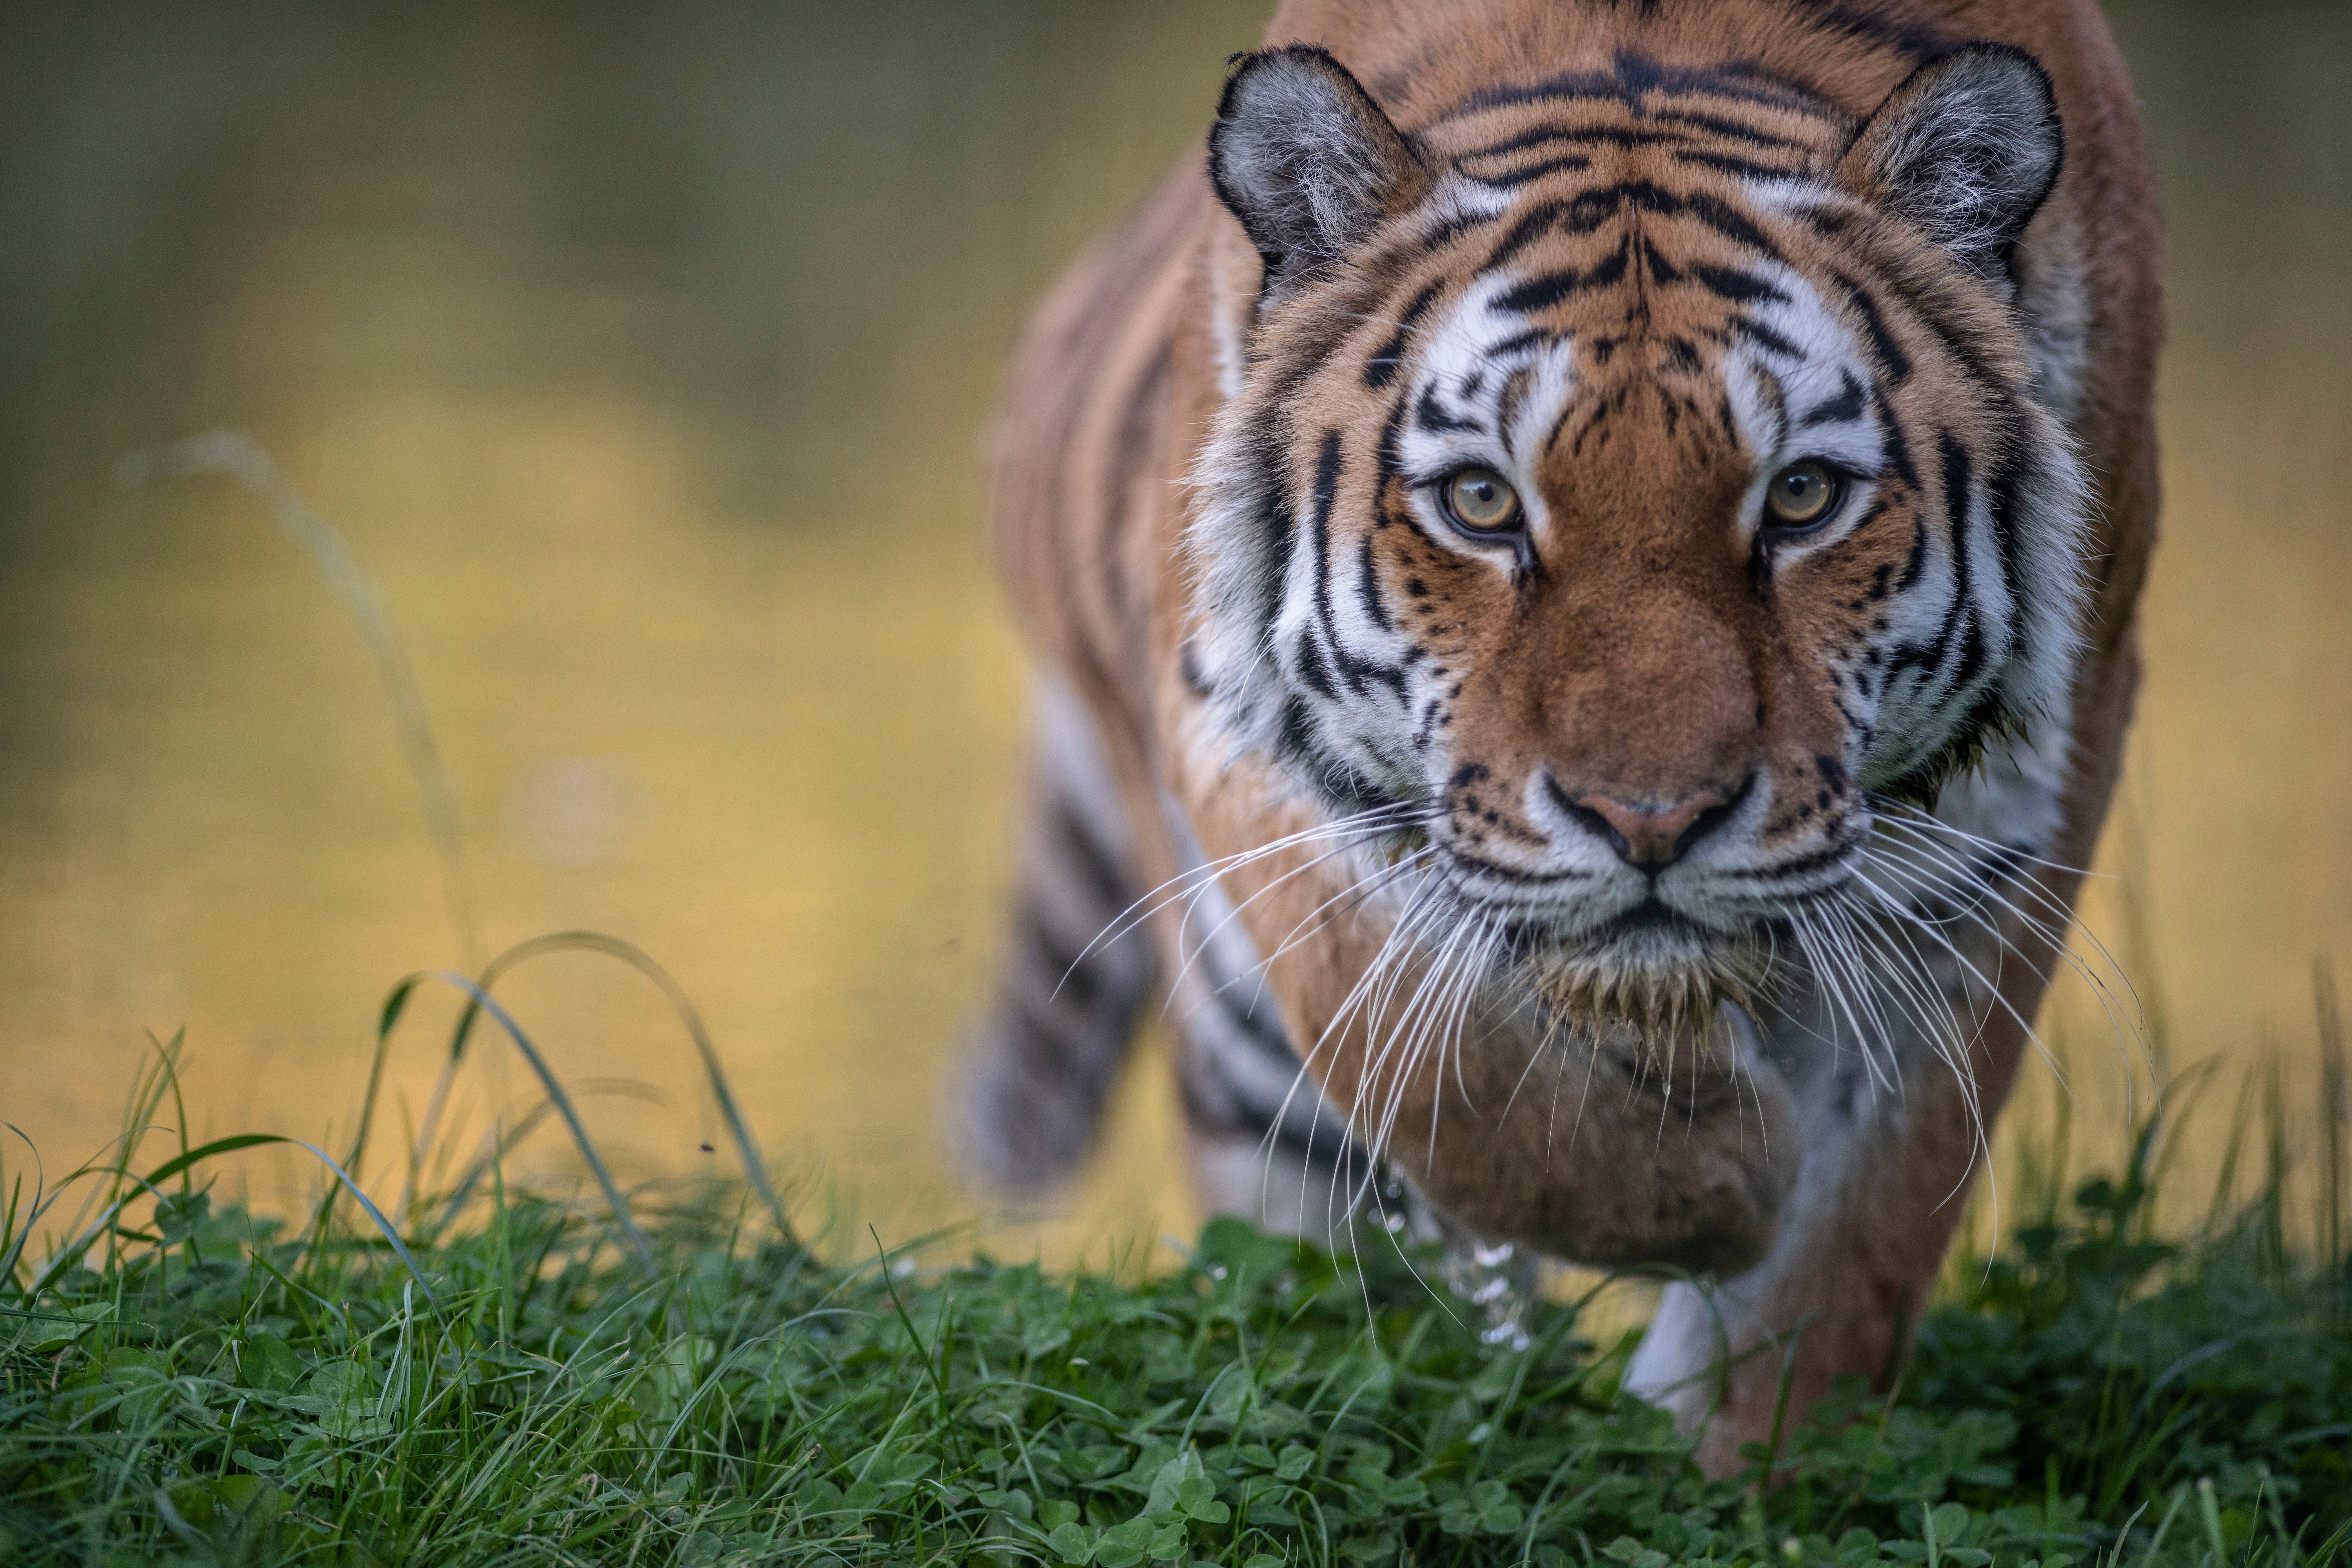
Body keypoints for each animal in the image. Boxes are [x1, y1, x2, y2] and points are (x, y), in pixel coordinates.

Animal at [950, 0, 2154, 1476]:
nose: (1652, 822)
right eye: (1480, 502)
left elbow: (1849, 1245)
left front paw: (1734, 1467)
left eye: (1802, 498)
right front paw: (1713, 1179)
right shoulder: (1239, 741)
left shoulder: (2010, 817)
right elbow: (1438, 1060)